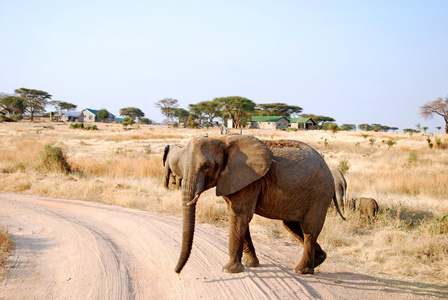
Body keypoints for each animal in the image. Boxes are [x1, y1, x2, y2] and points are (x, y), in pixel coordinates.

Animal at [173, 135, 344, 276]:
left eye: (207, 166)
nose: (177, 271)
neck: (222, 141)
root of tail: (329, 170)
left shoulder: (250, 181)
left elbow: (239, 215)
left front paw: (229, 270)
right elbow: (239, 217)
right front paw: (251, 265)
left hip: (319, 193)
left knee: (309, 229)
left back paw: (302, 271)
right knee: (292, 226)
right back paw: (319, 260)